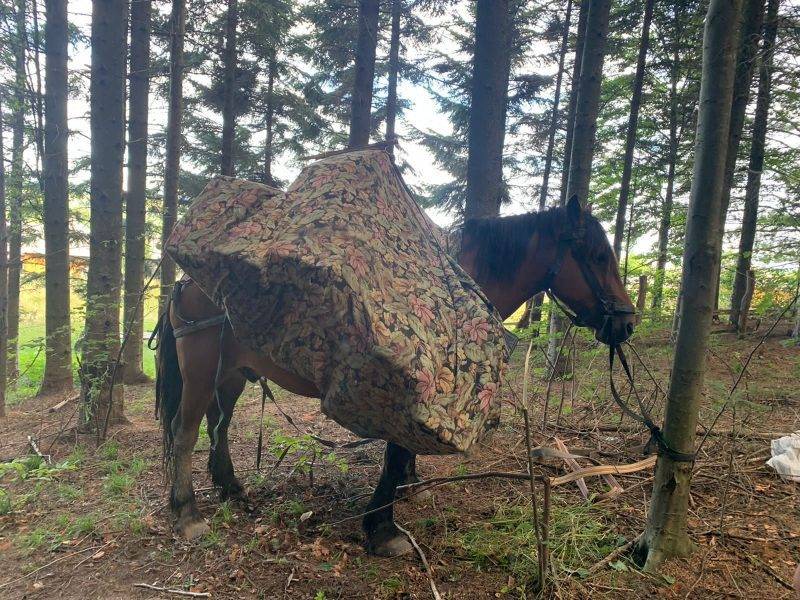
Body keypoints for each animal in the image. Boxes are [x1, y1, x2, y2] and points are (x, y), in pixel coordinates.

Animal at [153, 195, 636, 556]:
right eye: (597, 256)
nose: (627, 322)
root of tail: (185, 282)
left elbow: (403, 455)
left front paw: (403, 493)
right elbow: (395, 454)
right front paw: (382, 528)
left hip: (232, 374)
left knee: (219, 427)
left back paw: (231, 488)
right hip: (200, 372)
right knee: (184, 432)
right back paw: (187, 513)